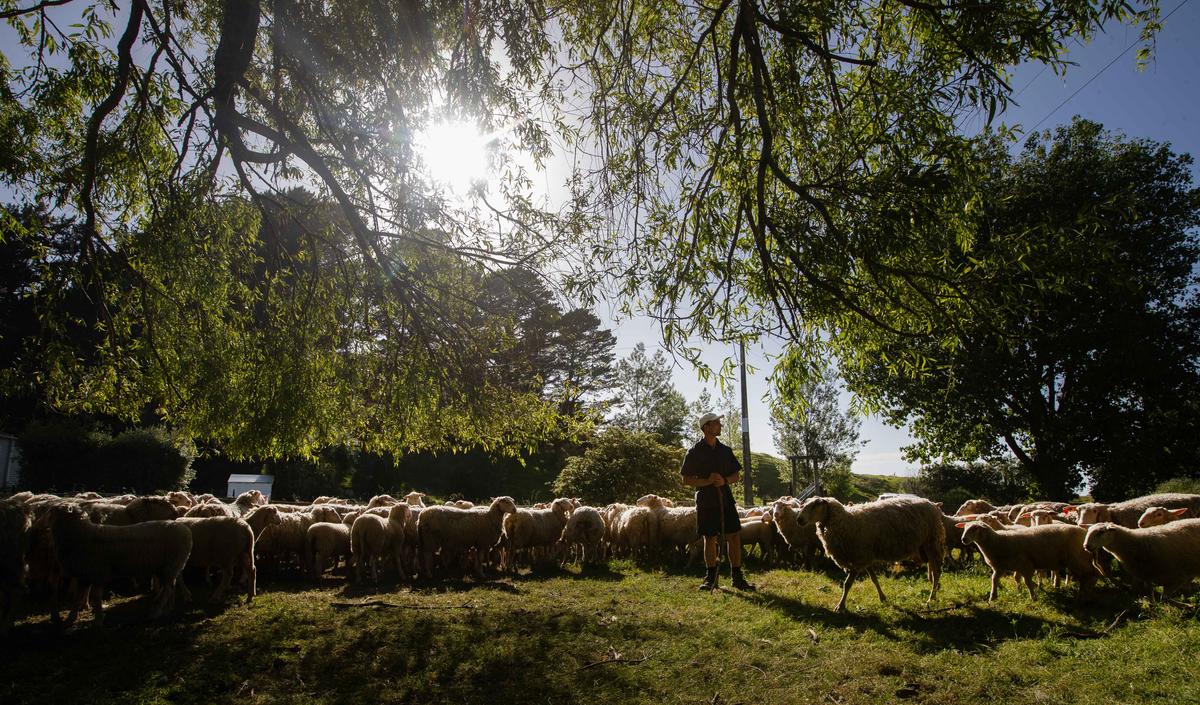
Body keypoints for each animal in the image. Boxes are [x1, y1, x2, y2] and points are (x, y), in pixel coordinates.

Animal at [39, 504, 192, 625]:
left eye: (53, 512)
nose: (42, 527)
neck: (81, 534)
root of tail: (183, 528)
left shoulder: (97, 572)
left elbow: (96, 597)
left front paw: (98, 619)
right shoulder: (84, 574)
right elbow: (77, 598)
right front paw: (71, 618)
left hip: (171, 564)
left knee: (168, 589)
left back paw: (156, 612)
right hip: (167, 567)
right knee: (170, 587)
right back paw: (167, 609)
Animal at [790, 496, 945, 612]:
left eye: (815, 505)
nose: (799, 520)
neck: (846, 521)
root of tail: (932, 504)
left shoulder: (859, 558)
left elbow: (847, 584)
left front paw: (840, 606)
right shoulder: (866, 557)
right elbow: (874, 579)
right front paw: (882, 597)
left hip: (932, 541)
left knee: (937, 571)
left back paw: (931, 598)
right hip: (925, 546)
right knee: (933, 568)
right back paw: (935, 590)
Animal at [958, 521, 1098, 601]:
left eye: (975, 528)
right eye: (964, 528)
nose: (963, 539)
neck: (998, 541)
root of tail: (1084, 531)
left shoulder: (1026, 565)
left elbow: (1028, 582)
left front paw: (1033, 597)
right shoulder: (1000, 567)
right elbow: (995, 579)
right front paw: (994, 596)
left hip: (1079, 559)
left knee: (1091, 574)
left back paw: (1087, 594)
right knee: (1086, 576)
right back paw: (1083, 592)